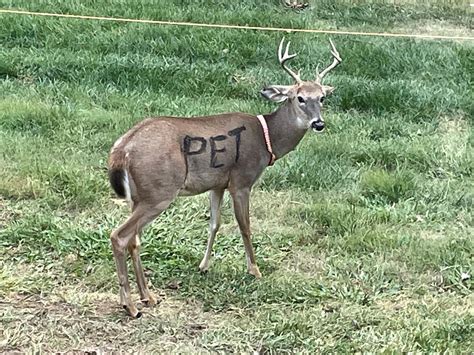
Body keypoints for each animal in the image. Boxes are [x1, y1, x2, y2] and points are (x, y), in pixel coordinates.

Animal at [107, 37, 340, 318]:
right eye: (300, 98)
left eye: (322, 97)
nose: (318, 123)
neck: (268, 140)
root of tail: (121, 149)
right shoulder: (242, 180)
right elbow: (245, 226)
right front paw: (254, 270)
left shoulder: (217, 183)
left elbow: (214, 223)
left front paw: (204, 265)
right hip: (159, 191)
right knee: (120, 236)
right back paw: (129, 305)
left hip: (138, 196)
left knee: (134, 240)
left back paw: (147, 297)